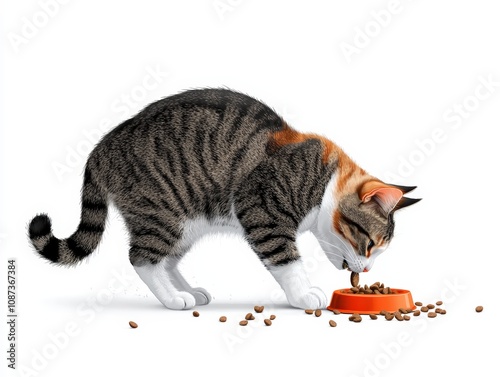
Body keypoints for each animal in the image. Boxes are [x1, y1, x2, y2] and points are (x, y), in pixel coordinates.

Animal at [27, 88, 420, 308]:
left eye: (378, 251)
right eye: (370, 244)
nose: (366, 270)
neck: (324, 179)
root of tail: (102, 148)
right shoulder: (261, 209)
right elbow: (288, 260)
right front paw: (303, 295)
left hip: (186, 223)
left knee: (166, 261)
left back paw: (189, 289)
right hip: (163, 213)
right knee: (142, 258)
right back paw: (174, 298)